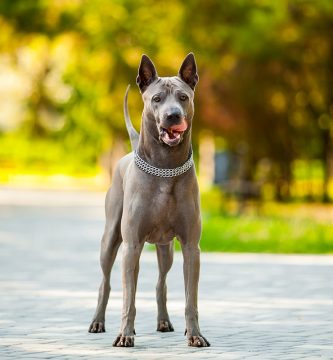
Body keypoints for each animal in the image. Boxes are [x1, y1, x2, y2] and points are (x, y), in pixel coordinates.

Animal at [87, 52, 208, 348]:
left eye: (183, 97)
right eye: (157, 99)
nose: (173, 115)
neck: (165, 167)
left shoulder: (191, 248)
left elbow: (191, 299)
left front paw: (195, 335)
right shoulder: (132, 246)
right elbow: (129, 298)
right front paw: (125, 335)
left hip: (167, 249)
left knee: (161, 282)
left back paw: (164, 321)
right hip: (110, 238)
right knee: (105, 282)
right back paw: (97, 322)